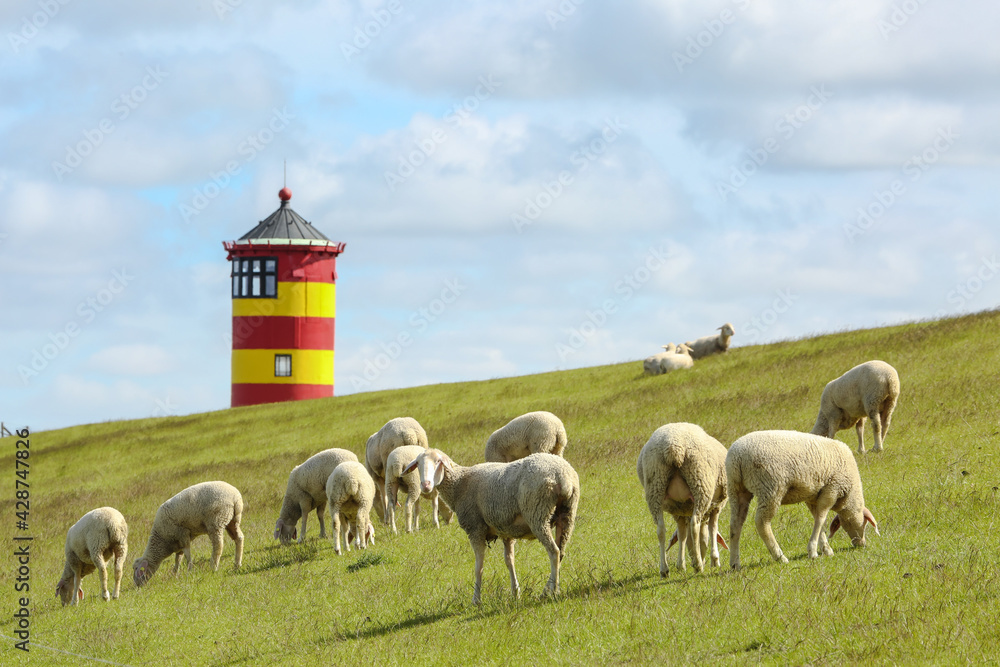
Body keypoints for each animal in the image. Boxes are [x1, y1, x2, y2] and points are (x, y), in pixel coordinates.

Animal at [403, 449, 580, 605]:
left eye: (438, 461)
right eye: (418, 464)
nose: (425, 485)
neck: (459, 483)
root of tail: (562, 476)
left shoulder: (475, 528)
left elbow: (478, 567)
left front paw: (476, 599)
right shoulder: (505, 529)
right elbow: (509, 561)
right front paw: (515, 592)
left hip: (537, 513)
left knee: (554, 552)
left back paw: (552, 591)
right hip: (567, 514)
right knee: (561, 551)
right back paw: (550, 588)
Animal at [636, 423, 728, 577]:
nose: (695, 558)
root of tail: (674, 447)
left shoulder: (678, 512)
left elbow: (682, 535)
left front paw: (681, 565)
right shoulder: (716, 507)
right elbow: (712, 529)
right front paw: (714, 561)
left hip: (655, 486)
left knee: (661, 529)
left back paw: (664, 570)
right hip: (700, 484)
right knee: (694, 525)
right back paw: (698, 566)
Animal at [726, 430, 879, 570]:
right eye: (865, 524)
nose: (861, 544)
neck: (850, 496)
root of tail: (737, 457)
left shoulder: (813, 496)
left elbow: (818, 519)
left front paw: (825, 549)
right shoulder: (832, 488)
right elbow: (821, 519)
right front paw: (813, 551)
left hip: (736, 489)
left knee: (735, 525)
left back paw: (735, 563)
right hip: (771, 488)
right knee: (761, 523)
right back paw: (780, 557)